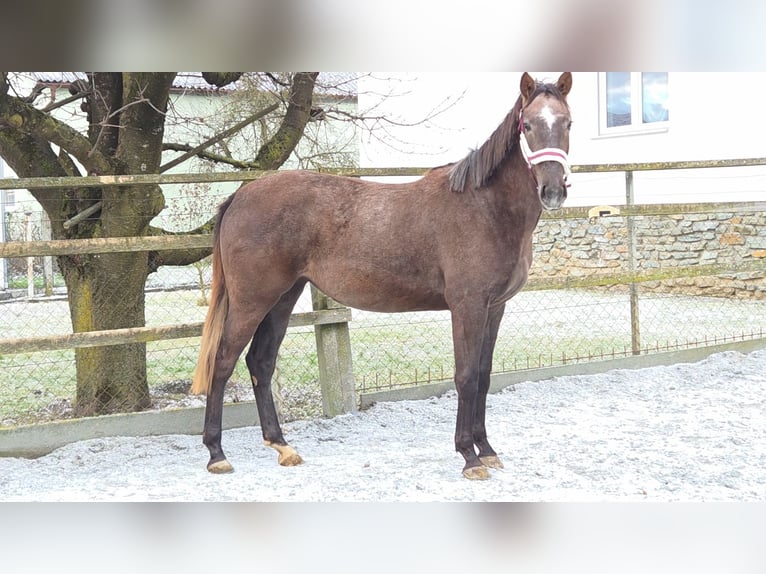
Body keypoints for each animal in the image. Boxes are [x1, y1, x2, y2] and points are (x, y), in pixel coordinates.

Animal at [192, 72, 573, 480]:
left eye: (567, 123)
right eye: (528, 124)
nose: (552, 190)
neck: (485, 206)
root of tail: (240, 196)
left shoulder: (494, 308)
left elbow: (484, 376)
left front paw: (486, 450)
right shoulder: (467, 306)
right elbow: (466, 376)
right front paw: (469, 456)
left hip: (283, 297)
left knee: (260, 362)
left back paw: (282, 446)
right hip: (252, 300)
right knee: (223, 360)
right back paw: (216, 453)